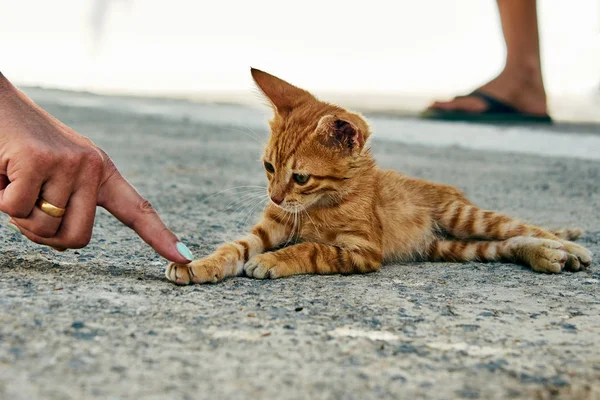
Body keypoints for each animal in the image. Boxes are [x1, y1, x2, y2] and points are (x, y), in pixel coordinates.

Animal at [164, 68, 592, 284]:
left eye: (300, 177)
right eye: (269, 168)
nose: (274, 196)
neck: (319, 206)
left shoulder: (364, 251)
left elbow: (312, 248)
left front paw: (274, 260)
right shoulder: (269, 228)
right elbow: (234, 246)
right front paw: (201, 264)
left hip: (466, 217)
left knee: (522, 227)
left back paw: (569, 248)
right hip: (450, 247)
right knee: (504, 244)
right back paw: (545, 255)